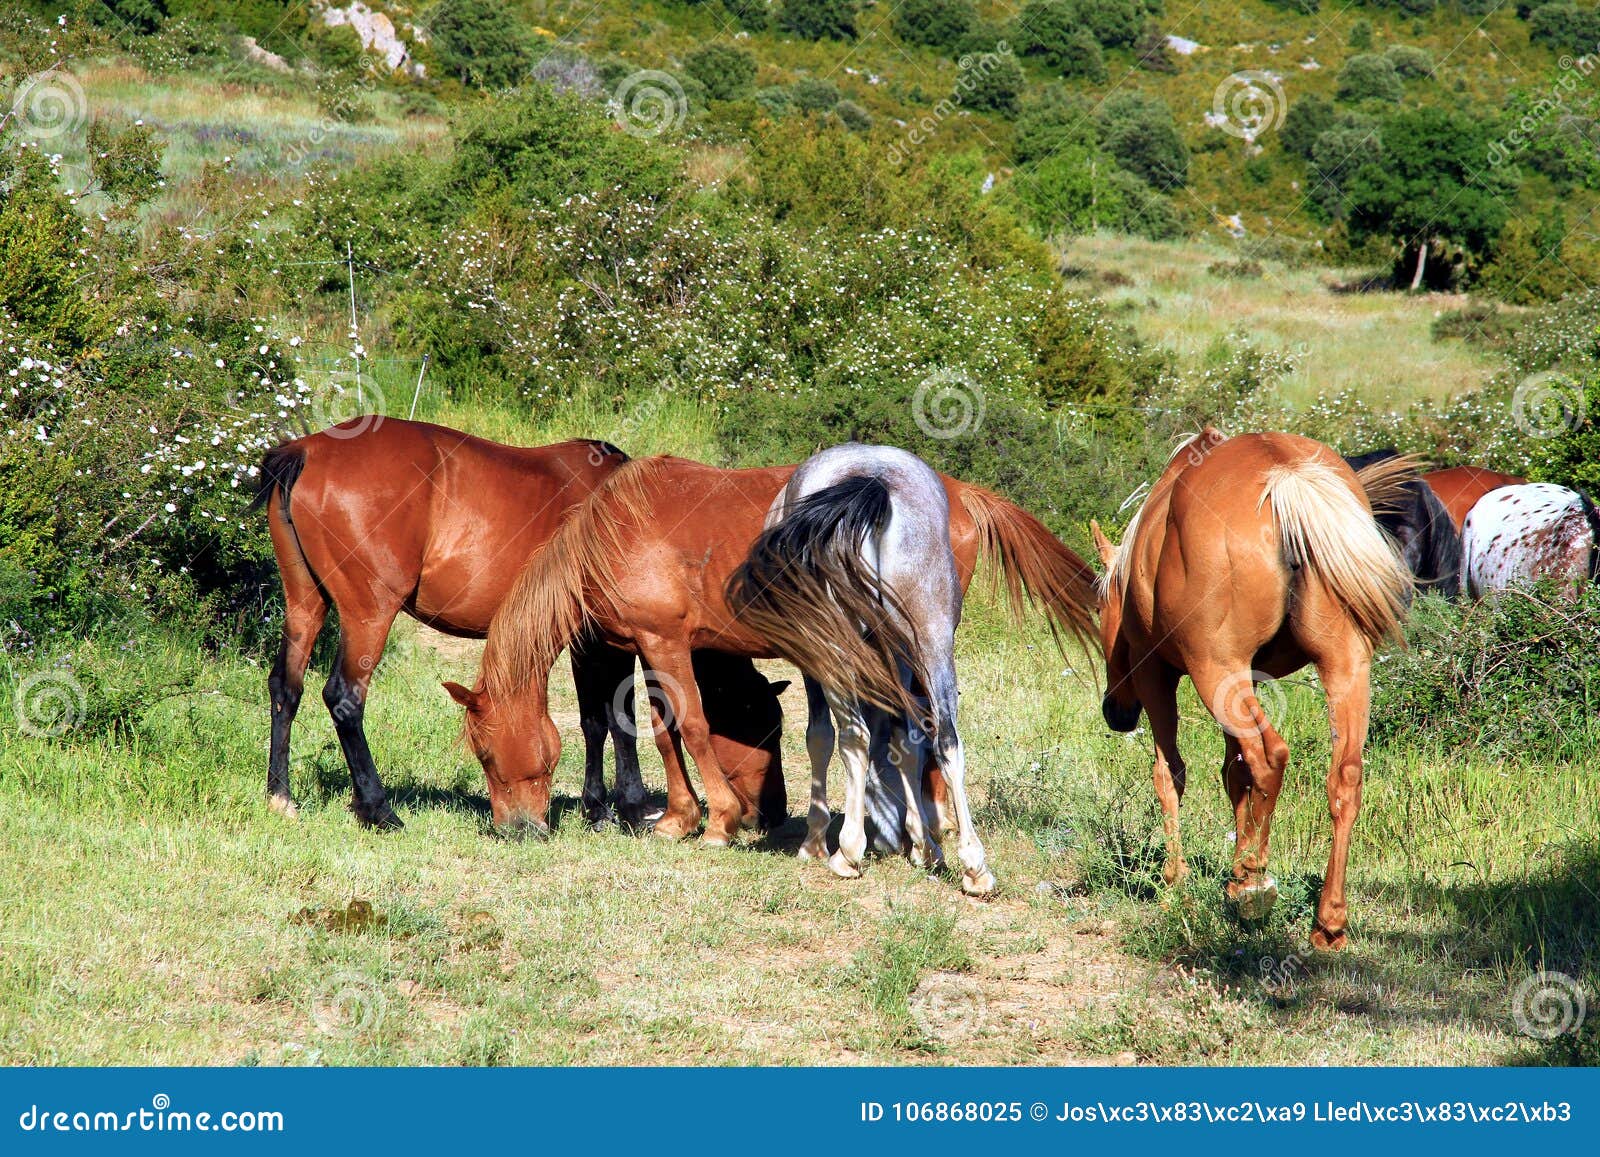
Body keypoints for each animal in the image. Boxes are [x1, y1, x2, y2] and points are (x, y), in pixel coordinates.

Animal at [252, 422, 784, 838]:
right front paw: (627, 809)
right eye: (767, 728)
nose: (772, 814)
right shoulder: (604, 643)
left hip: (305, 604)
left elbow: (595, 721)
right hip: (369, 615)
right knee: (344, 699)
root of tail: (307, 450)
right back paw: (379, 810)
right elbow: (615, 719)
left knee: (286, 689)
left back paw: (281, 796)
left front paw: (598, 808)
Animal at [454, 451, 1100, 896]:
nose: (517, 829)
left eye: (485, 754)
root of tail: (956, 493)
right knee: (926, 734)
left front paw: (716, 822)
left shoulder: (664, 643)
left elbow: (689, 727)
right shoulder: (647, 647)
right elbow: (663, 730)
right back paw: (934, 848)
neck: (614, 532)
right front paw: (679, 817)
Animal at [1088, 432, 1414, 947]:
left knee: (1270, 757)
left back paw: (1253, 886)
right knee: (1344, 776)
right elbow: (1233, 773)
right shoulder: (1248, 682)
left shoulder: (1157, 676)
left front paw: (1175, 883)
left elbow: (1171, 773)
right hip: (1343, 666)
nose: (1115, 712)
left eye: (1100, 609)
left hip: (1214, 672)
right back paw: (1327, 919)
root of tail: (1285, 477)